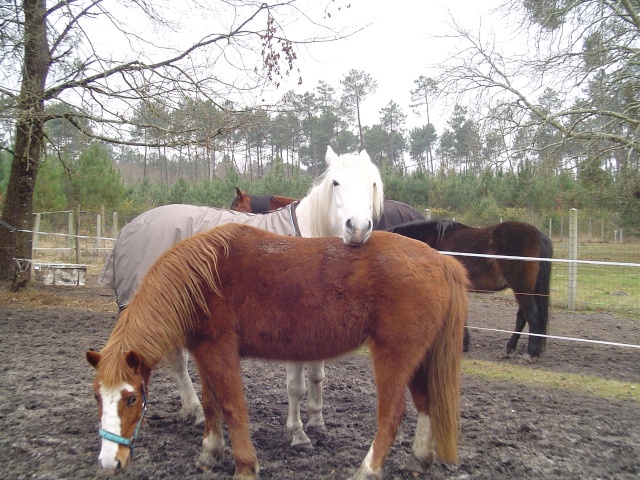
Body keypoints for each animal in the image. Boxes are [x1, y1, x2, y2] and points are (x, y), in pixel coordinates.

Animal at [85, 223, 468, 478]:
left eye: (131, 398)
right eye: (98, 398)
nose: (108, 462)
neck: (201, 279)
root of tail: (443, 262)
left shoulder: (221, 352)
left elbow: (232, 407)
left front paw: (245, 466)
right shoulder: (205, 353)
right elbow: (210, 404)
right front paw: (210, 453)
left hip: (394, 356)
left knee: (392, 414)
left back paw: (367, 470)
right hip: (419, 360)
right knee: (426, 403)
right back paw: (418, 460)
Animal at [99, 145, 380, 450]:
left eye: (373, 184)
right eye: (335, 183)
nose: (358, 228)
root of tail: (131, 226)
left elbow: (317, 376)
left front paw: (317, 422)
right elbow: (296, 386)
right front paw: (297, 433)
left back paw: (193, 411)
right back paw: (192, 412)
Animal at [388, 219, 552, 362]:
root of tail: (538, 234)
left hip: (522, 289)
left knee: (531, 315)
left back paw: (530, 353)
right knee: (522, 317)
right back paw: (508, 350)